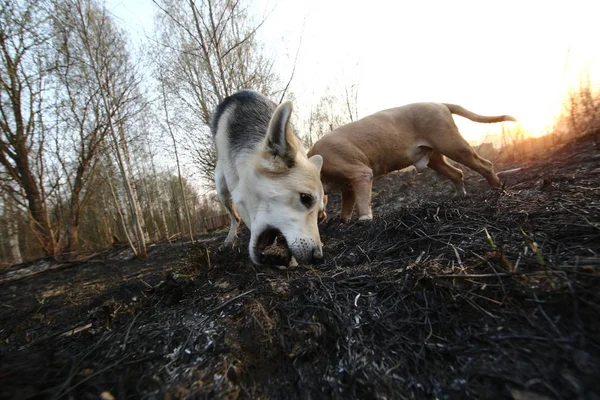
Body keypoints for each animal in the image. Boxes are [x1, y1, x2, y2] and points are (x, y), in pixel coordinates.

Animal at [212, 91, 326, 266]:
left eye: (320, 215)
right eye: (305, 198)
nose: (318, 258)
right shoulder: (239, 196)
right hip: (222, 190)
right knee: (234, 218)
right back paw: (228, 240)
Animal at [310, 102, 516, 222]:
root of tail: (440, 103)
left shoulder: (360, 174)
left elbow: (362, 201)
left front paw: (365, 219)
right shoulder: (348, 187)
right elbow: (346, 207)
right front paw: (343, 223)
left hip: (453, 145)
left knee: (484, 165)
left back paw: (498, 190)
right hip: (435, 158)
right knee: (457, 173)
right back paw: (459, 196)